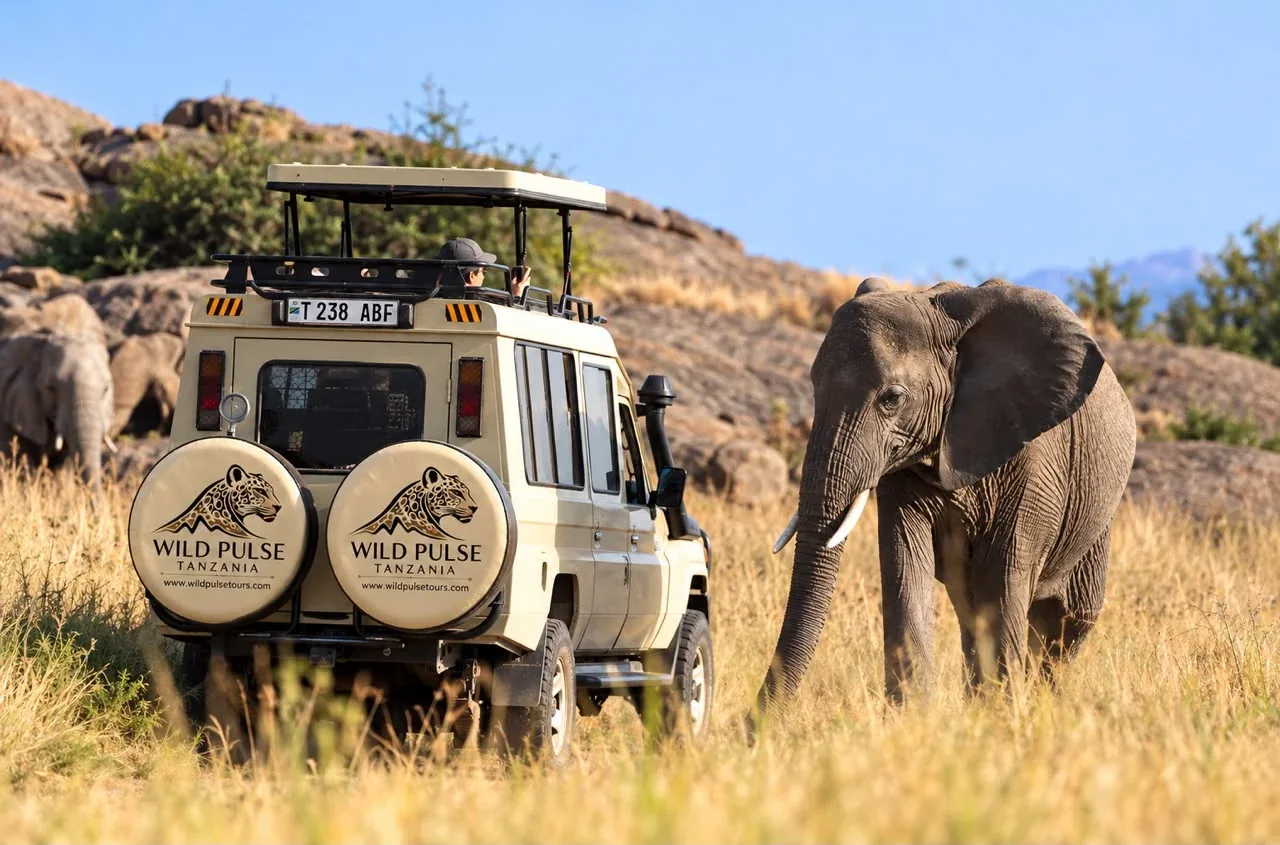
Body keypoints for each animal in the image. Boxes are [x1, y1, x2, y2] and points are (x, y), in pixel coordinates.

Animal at [758, 278, 1136, 712]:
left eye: (892, 399)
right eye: (814, 387)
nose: (752, 724)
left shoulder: (1037, 462)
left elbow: (1004, 577)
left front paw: (1004, 716)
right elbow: (906, 566)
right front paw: (913, 719)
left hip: (1099, 513)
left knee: (1068, 619)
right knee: (972, 609)